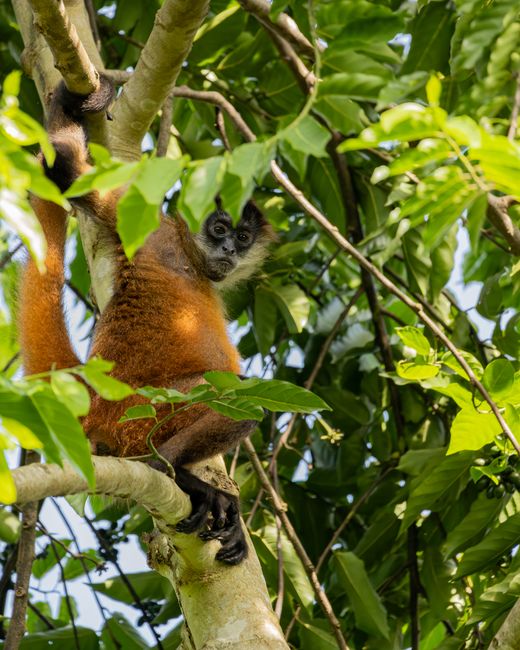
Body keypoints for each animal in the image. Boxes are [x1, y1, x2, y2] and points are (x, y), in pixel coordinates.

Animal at [18, 77, 274, 565]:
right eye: (218, 228)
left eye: (243, 236)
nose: (230, 250)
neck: (190, 258)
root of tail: (96, 394)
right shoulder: (150, 230)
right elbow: (66, 170)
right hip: (141, 413)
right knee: (246, 398)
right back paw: (170, 470)